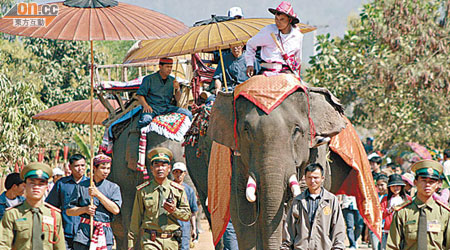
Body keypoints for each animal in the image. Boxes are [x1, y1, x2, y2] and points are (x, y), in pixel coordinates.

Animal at [184, 86, 356, 250]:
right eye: (246, 130)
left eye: (297, 130)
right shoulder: (238, 157)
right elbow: (241, 204)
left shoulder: (315, 150)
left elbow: (294, 203)